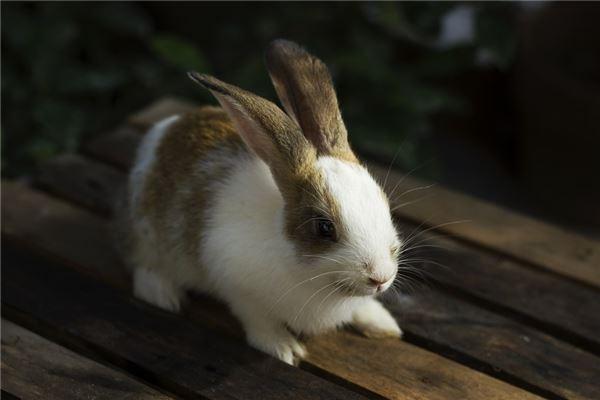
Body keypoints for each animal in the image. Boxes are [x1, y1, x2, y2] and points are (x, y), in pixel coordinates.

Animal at [122, 39, 404, 364]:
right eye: (324, 228)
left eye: (384, 204)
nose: (380, 277)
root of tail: (165, 130)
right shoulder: (238, 285)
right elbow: (258, 320)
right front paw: (284, 348)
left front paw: (382, 323)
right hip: (146, 232)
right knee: (143, 263)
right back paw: (162, 295)